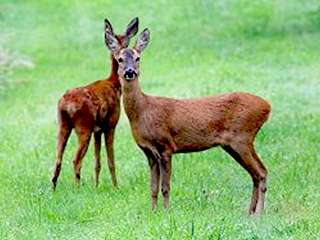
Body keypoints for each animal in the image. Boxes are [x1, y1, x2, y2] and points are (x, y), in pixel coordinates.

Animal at [51, 17, 139, 189]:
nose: (130, 69)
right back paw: (77, 187)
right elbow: (110, 160)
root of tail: (65, 104)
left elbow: (97, 161)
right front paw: (115, 186)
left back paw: (53, 188)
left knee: (58, 159)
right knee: (76, 159)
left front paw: (96, 185)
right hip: (83, 125)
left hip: (63, 124)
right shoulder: (110, 124)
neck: (114, 84)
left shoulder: (97, 129)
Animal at [106, 29, 272, 215]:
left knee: (262, 172)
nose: (130, 72)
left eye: (138, 58)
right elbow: (153, 187)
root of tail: (267, 106)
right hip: (233, 144)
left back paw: (259, 213)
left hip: (242, 137)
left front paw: (166, 211)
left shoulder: (166, 146)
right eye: (120, 59)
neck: (143, 112)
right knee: (255, 174)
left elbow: (165, 187)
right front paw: (153, 211)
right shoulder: (149, 152)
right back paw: (250, 211)